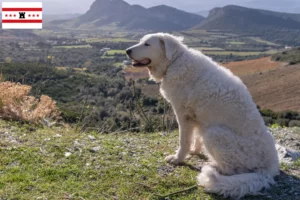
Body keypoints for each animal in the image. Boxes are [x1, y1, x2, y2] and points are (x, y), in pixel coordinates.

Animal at [125, 32, 280, 198]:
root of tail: (268, 170)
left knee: (230, 170)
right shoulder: (197, 118)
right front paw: (195, 151)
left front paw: (178, 158)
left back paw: (212, 165)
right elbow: (196, 138)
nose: (127, 51)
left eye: (147, 44)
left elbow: (184, 141)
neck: (175, 61)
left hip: (214, 133)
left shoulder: (183, 115)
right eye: (141, 41)